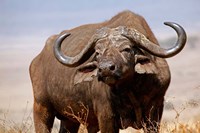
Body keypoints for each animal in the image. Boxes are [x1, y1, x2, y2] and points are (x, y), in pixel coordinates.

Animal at [29, 10, 186, 133]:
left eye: (126, 49)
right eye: (97, 52)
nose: (105, 69)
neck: (130, 89)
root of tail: (37, 60)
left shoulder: (155, 112)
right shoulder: (106, 116)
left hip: (70, 119)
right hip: (41, 108)